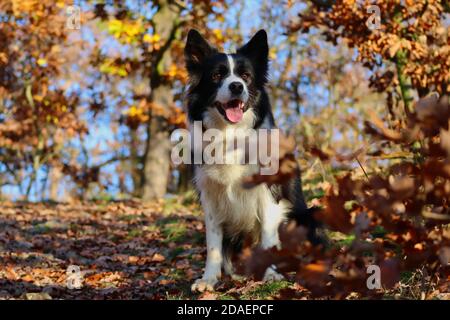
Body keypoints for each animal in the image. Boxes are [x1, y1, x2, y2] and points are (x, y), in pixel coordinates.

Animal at [184, 28, 320, 292]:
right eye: (217, 75)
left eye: (245, 76)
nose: (237, 86)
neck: (231, 136)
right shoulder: (211, 197)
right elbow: (213, 244)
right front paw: (208, 279)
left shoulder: (269, 192)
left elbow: (268, 236)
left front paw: (271, 275)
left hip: (307, 217)